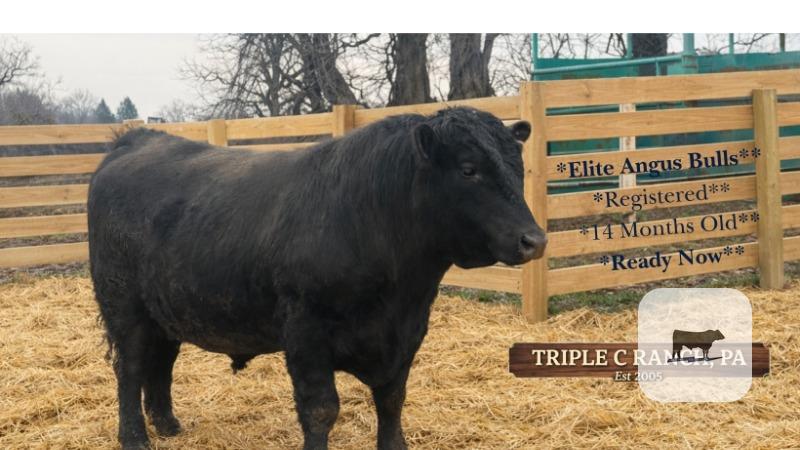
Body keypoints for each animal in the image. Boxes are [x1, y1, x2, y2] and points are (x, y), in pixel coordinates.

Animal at [88, 107, 546, 450]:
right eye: (468, 169)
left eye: (517, 165)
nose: (534, 240)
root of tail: (137, 139)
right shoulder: (307, 333)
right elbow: (321, 409)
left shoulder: (409, 331)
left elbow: (392, 400)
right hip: (123, 305)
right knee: (130, 367)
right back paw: (135, 437)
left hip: (165, 308)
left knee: (160, 362)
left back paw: (167, 424)